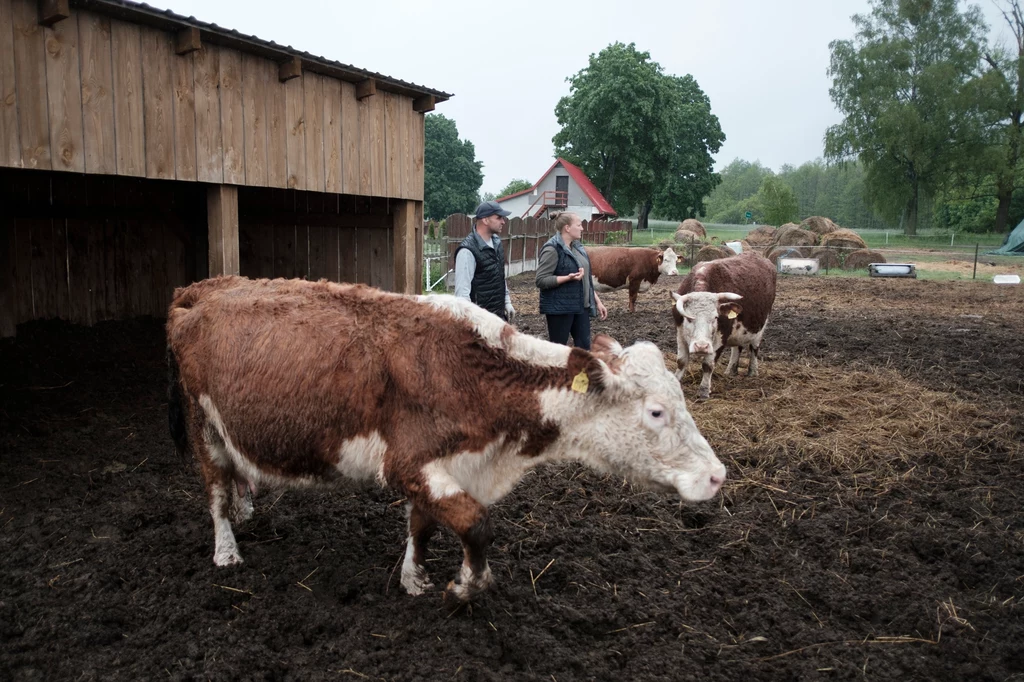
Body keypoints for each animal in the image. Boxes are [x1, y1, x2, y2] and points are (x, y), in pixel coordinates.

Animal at [167, 274, 724, 598]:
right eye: (656, 412)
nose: (717, 476)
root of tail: (203, 288)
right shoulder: (408, 464)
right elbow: (476, 524)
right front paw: (467, 584)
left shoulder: (443, 467)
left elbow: (424, 526)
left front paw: (414, 579)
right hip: (202, 424)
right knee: (215, 490)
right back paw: (226, 549)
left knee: (236, 477)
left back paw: (246, 507)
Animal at [671, 249, 774, 399]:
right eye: (689, 318)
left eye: (715, 317)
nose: (701, 346)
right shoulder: (680, 333)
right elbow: (681, 361)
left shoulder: (720, 339)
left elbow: (708, 365)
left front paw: (704, 390)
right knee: (737, 348)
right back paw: (731, 370)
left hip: (760, 328)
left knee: (754, 349)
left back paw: (752, 372)